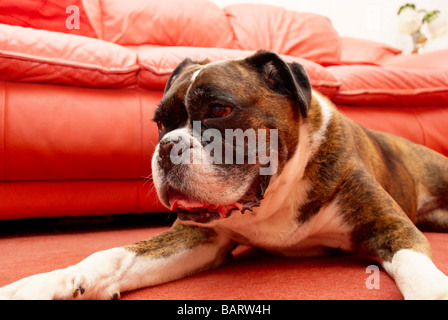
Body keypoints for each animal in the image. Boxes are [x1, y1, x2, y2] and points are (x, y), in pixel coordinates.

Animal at [0, 50, 448, 300]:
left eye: (219, 110)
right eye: (160, 124)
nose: (168, 146)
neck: (275, 196)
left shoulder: (389, 227)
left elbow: (418, 271)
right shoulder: (201, 239)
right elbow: (116, 255)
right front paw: (51, 281)